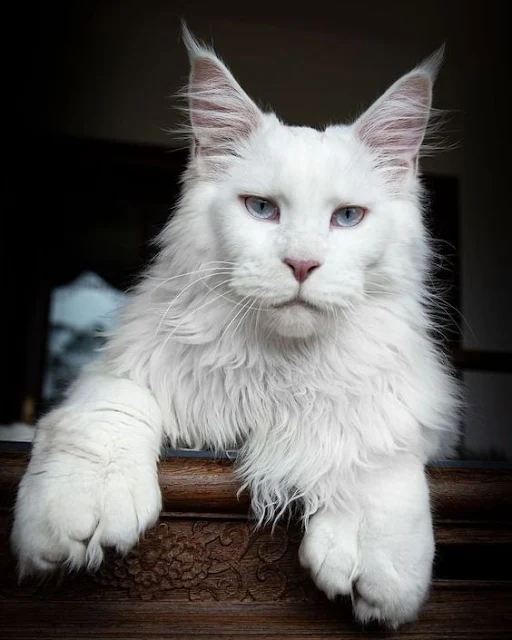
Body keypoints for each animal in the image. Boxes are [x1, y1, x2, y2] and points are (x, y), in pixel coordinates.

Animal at [11, 27, 460, 628]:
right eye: (261, 209)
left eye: (347, 218)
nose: (301, 264)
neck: (277, 368)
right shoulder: (122, 368)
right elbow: (109, 411)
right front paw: (80, 509)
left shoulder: (404, 406)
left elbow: (374, 446)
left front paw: (379, 565)